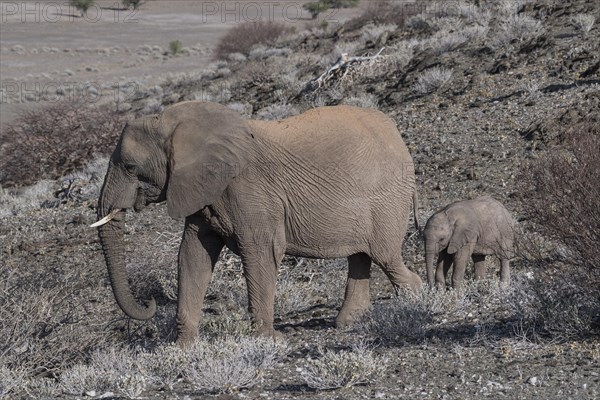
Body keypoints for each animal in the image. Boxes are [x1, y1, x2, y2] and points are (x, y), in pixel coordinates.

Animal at [94, 101, 422, 344]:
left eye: (131, 167)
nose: (149, 303)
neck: (174, 122)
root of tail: (398, 136)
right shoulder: (203, 191)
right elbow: (192, 255)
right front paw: (183, 347)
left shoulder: (251, 191)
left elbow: (261, 252)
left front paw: (268, 341)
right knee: (361, 255)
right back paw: (347, 322)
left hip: (387, 198)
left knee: (385, 255)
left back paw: (416, 297)